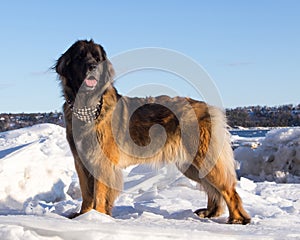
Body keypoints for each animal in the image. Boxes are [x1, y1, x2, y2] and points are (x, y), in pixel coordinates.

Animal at [54, 39, 251, 225]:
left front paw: (97, 216)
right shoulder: (81, 161)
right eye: (80, 57)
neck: (87, 104)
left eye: (97, 58)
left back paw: (238, 219)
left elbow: (99, 193)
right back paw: (210, 212)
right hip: (191, 165)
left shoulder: (102, 161)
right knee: (213, 189)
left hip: (203, 158)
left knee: (228, 189)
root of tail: (209, 108)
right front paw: (84, 216)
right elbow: (86, 192)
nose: (92, 66)